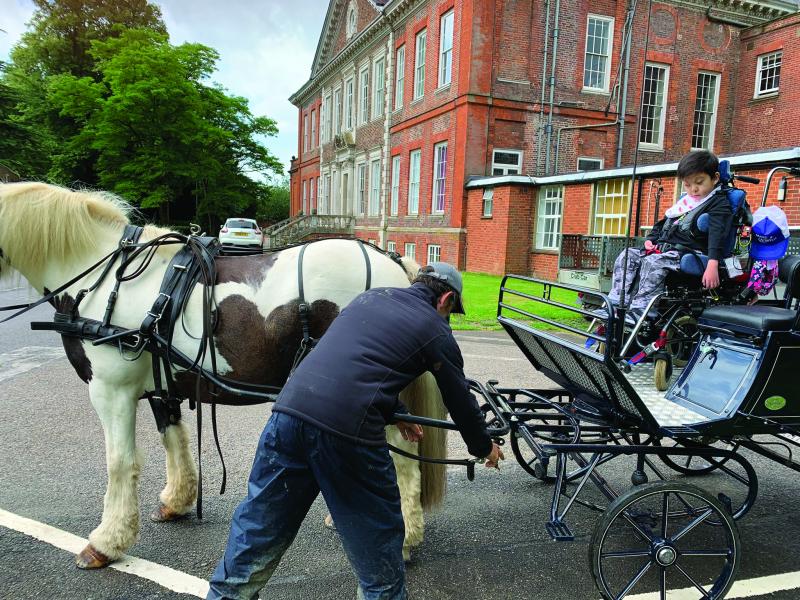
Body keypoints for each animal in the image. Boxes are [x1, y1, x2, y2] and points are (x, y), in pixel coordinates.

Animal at [0, 182, 448, 568]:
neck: (107, 277)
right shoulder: (161, 384)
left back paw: (404, 539)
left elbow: (119, 461)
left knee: (402, 460)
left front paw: (106, 542)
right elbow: (173, 439)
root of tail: (395, 267)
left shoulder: (111, 390)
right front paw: (177, 501)